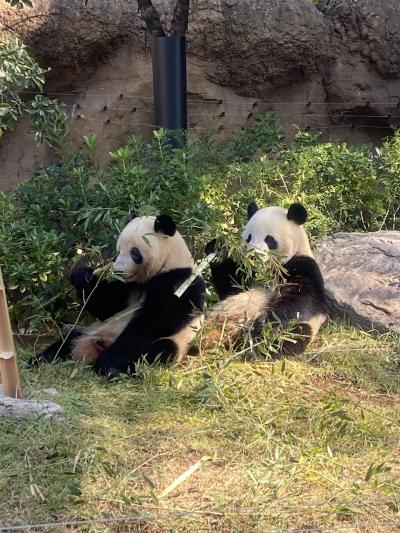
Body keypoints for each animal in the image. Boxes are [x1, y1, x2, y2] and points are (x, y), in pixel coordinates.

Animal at [30, 214, 205, 376]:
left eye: (135, 252)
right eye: (118, 250)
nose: (118, 271)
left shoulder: (180, 282)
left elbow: (152, 323)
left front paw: (107, 362)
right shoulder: (128, 285)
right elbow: (108, 308)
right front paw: (83, 276)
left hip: (177, 343)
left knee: (160, 350)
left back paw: (112, 369)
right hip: (93, 330)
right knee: (69, 338)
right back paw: (39, 360)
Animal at [205, 202, 326, 356]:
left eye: (269, 239)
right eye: (248, 238)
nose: (252, 256)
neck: (266, 271)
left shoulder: (302, 267)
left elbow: (300, 300)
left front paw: (262, 324)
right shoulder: (246, 273)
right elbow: (230, 287)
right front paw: (216, 248)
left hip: (302, 328)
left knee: (288, 335)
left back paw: (249, 345)